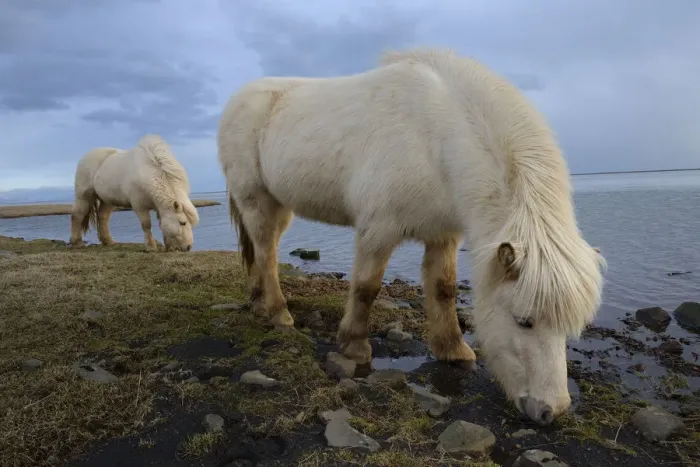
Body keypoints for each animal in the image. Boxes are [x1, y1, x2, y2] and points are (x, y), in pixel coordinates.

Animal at [69, 134, 199, 252]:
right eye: (182, 223)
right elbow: (146, 225)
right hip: (84, 196)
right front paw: (151, 247)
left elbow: (162, 223)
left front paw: (169, 246)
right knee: (77, 215)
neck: (148, 174)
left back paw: (108, 241)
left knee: (102, 217)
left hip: (107, 200)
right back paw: (77, 243)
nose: (188, 247)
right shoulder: (139, 206)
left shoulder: (159, 207)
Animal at [217, 48, 606, 426]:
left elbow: (444, 289)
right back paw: (280, 315)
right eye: (524, 321)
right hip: (256, 200)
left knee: (263, 251)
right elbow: (366, 288)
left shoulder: (443, 234)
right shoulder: (378, 229)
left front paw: (453, 350)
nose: (551, 411)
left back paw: (259, 304)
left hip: (279, 206)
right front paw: (354, 345)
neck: (434, 139)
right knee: (266, 255)